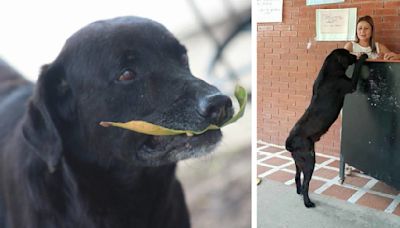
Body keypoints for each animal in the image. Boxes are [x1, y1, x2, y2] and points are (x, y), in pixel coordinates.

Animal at [286, 49, 368, 208]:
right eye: (348, 53)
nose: (354, 55)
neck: (329, 70)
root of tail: (289, 143)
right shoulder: (350, 84)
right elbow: (356, 70)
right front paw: (363, 57)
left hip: (299, 162)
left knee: (297, 177)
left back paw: (299, 193)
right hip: (309, 161)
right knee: (306, 184)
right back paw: (307, 202)